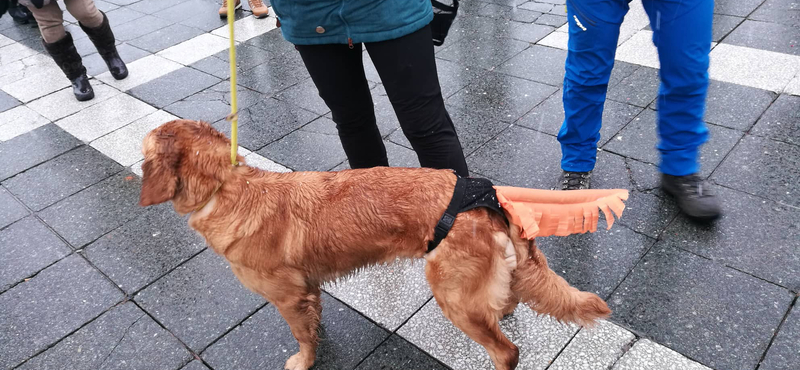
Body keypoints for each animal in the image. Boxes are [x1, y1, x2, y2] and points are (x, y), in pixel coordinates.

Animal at [139, 120, 612, 368]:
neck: (227, 186)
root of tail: (485, 200)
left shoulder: (287, 297)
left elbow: (301, 336)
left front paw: (305, 360)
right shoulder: (306, 292)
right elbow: (312, 323)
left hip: (454, 297)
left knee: (507, 351)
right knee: (508, 299)